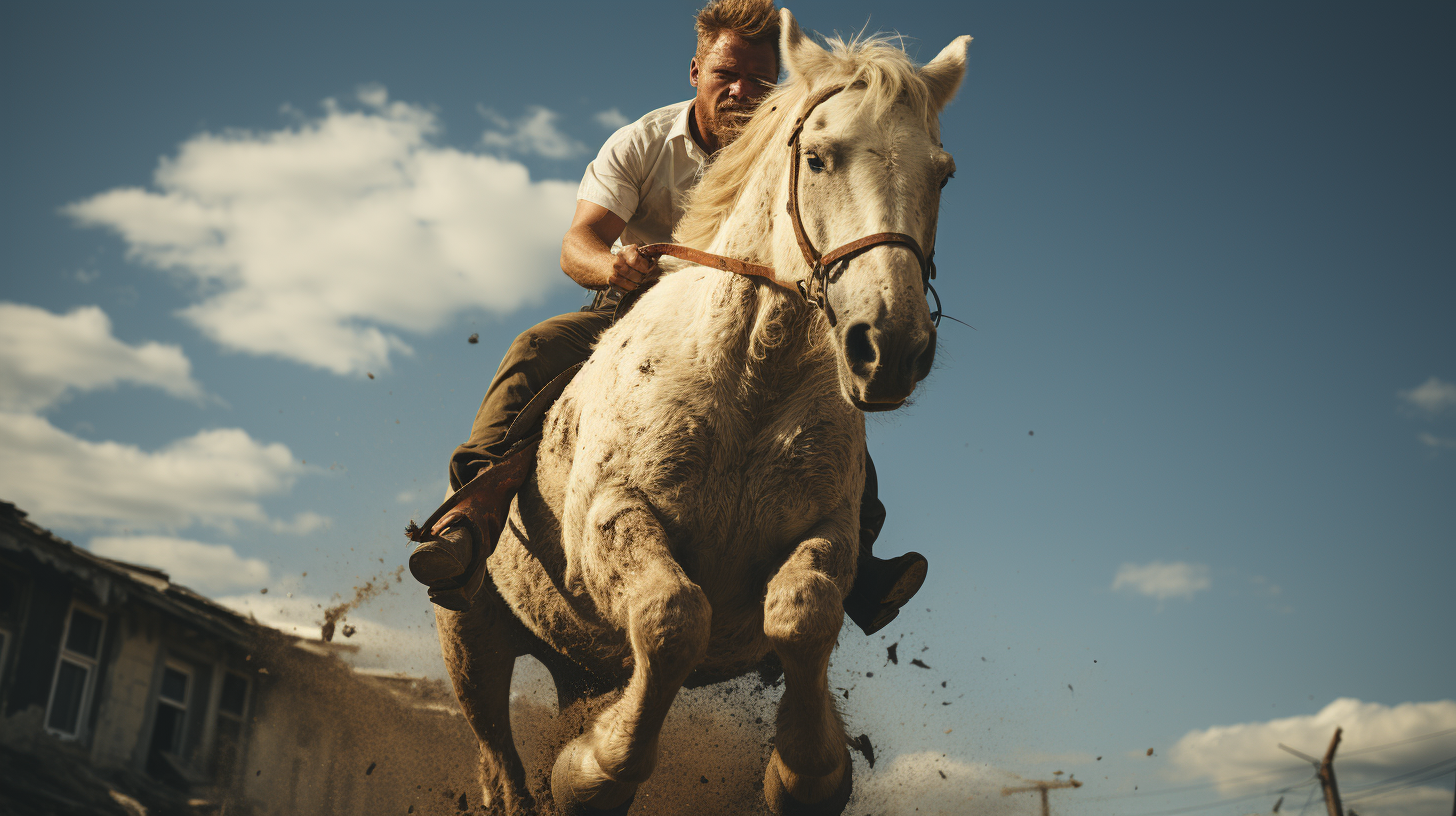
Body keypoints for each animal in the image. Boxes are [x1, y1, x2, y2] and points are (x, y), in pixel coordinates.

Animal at [436, 11, 972, 810]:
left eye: (942, 173)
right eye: (817, 158)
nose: (891, 346)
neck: (747, 379)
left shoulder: (827, 530)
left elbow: (804, 612)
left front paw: (808, 773)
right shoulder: (610, 520)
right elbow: (673, 619)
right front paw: (591, 772)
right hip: (470, 630)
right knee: (497, 747)